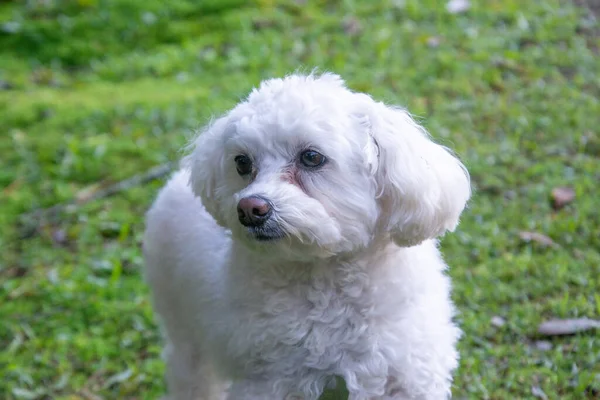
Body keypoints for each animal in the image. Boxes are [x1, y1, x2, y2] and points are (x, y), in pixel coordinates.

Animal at [143, 72, 472, 400]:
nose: (249, 208)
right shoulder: (270, 383)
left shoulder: (408, 375)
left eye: (312, 157)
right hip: (183, 326)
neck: (326, 277)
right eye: (242, 162)